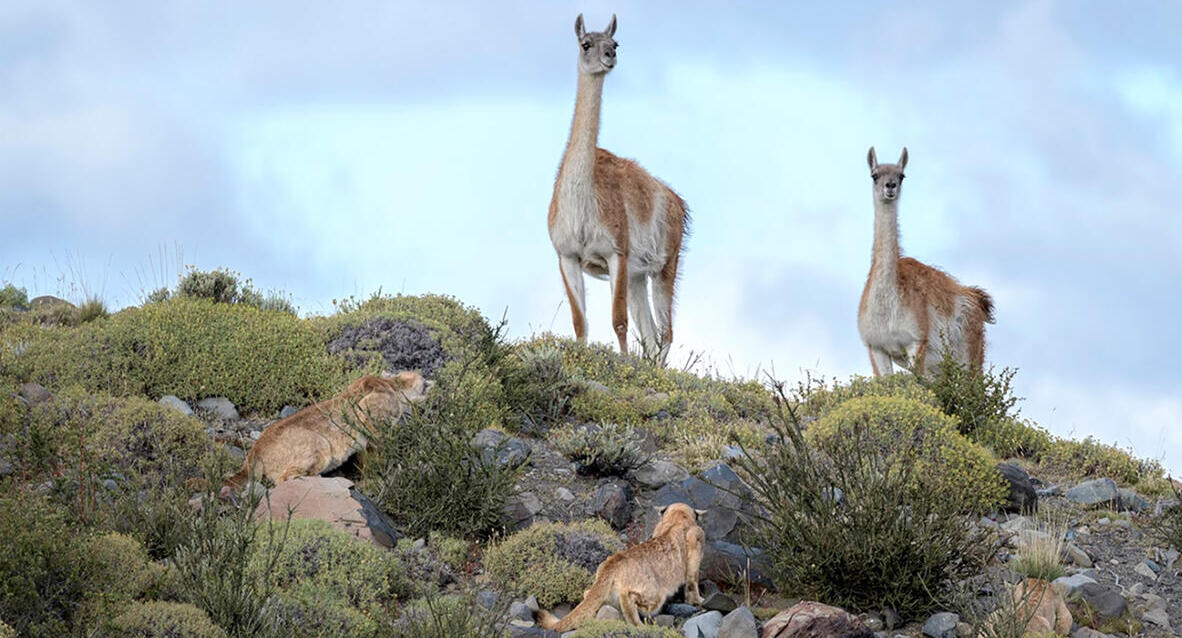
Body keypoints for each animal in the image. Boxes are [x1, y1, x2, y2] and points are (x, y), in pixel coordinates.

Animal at [219, 370, 427, 491]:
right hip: (321, 444)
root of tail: (253, 454)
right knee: (285, 479)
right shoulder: (367, 410)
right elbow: (379, 443)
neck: (394, 386)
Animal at [534, 503, 699, 633]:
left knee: (589, 594)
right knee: (633, 599)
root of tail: (613, 561)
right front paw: (697, 602)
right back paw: (639, 625)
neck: (677, 518)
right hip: (655, 593)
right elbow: (693, 581)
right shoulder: (696, 543)